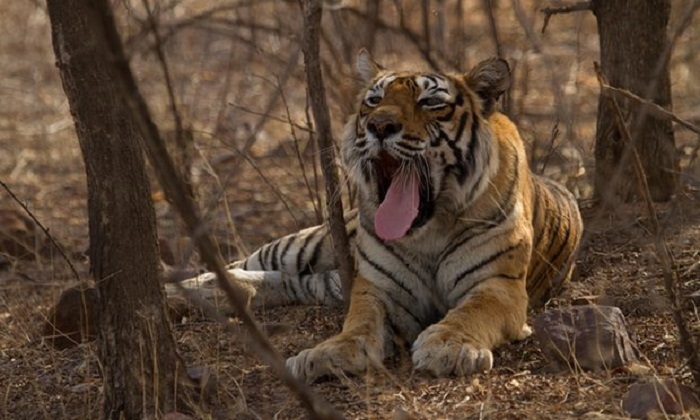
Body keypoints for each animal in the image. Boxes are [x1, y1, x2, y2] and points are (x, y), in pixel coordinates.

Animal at [187, 50, 584, 384]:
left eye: (430, 102)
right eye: (373, 101)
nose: (379, 125)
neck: (429, 231)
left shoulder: (498, 286)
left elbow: (471, 312)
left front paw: (448, 346)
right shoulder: (378, 288)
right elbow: (359, 321)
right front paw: (328, 353)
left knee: (291, 282)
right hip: (309, 244)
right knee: (251, 263)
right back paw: (190, 288)